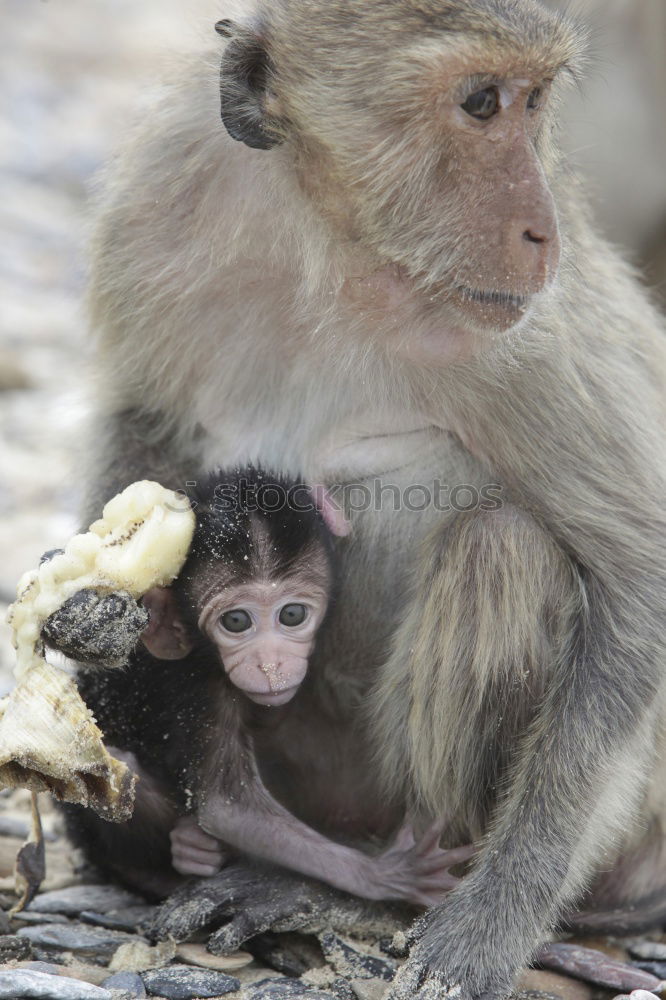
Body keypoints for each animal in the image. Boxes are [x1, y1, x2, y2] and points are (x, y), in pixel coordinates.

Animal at [136, 468, 472, 908]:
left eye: (292, 615)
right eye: (236, 622)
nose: (271, 665)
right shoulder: (200, 687)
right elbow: (227, 807)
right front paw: (383, 875)